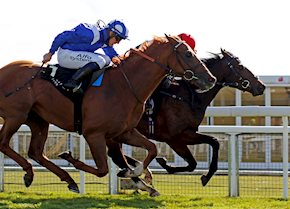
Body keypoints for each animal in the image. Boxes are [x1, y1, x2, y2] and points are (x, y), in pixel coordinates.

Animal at [0, 35, 216, 193]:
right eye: (188, 54)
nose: (211, 79)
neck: (125, 86)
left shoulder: (123, 132)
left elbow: (151, 149)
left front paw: (135, 174)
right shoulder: (94, 134)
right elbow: (103, 169)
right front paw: (72, 158)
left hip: (38, 120)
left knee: (35, 152)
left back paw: (61, 178)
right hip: (15, 116)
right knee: (4, 144)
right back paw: (35, 172)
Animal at [105, 48, 266, 193]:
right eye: (240, 66)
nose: (261, 86)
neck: (189, 96)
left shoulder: (185, 134)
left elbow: (200, 157)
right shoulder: (175, 137)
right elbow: (210, 145)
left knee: (116, 155)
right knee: (116, 155)